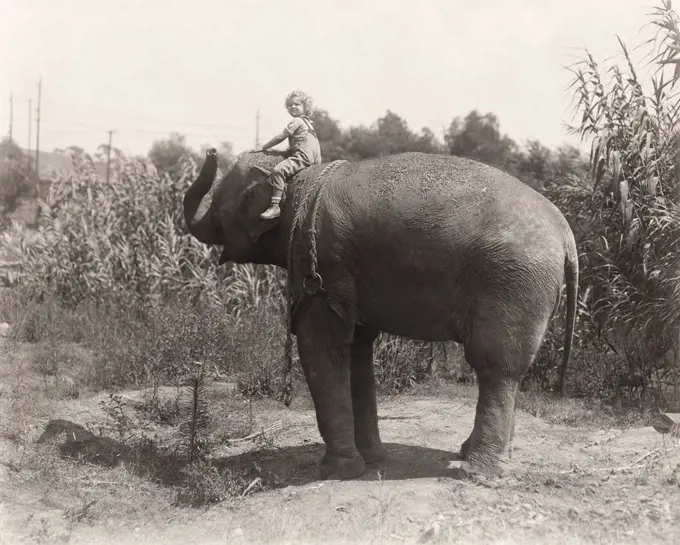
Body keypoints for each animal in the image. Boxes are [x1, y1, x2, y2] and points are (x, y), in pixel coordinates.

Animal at [183, 148, 576, 476]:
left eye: (218, 205)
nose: (211, 151)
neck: (298, 180)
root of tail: (566, 232)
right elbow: (358, 350)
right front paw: (372, 460)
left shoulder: (321, 264)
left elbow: (320, 345)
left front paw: (337, 471)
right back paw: (483, 456)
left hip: (514, 282)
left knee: (497, 366)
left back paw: (477, 471)